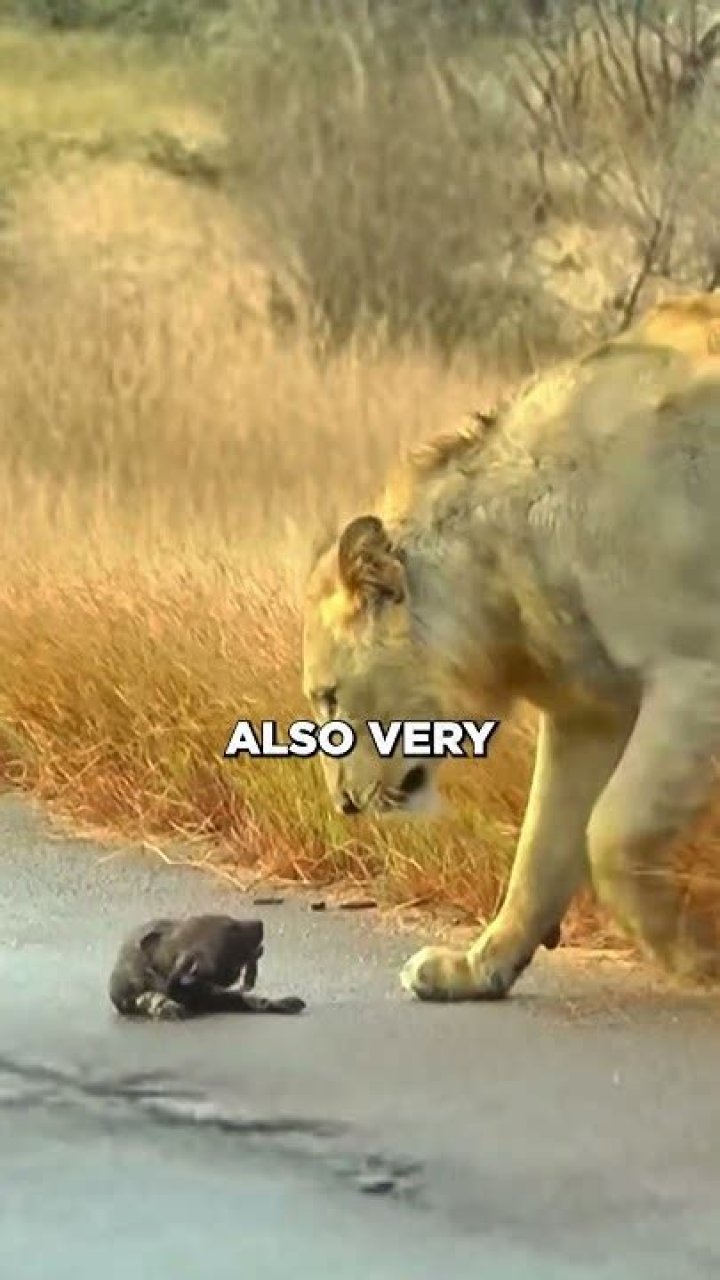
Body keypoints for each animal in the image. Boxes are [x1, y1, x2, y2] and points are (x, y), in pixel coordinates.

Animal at [302, 293, 720, 1003]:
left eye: (330, 699)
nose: (344, 805)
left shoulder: (696, 669)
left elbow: (614, 831)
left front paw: (697, 954)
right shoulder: (588, 713)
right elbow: (543, 846)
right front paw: (475, 969)